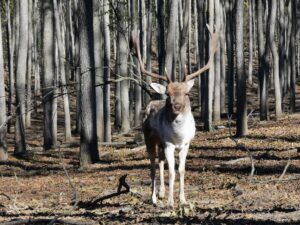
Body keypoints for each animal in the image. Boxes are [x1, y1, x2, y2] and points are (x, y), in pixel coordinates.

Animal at [132, 25, 219, 207]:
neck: (178, 136)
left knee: (160, 162)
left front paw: (183, 200)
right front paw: (171, 202)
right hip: (150, 138)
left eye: (186, 93)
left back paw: (161, 193)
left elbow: (181, 170)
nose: (176, 106)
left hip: (160, 143)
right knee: (152, 165)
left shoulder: (186, 144)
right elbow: (172, 172)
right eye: (168, 93)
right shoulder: (168, 144)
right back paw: (154, 198)